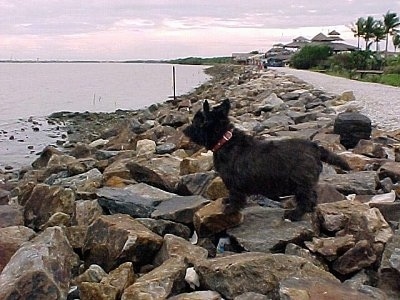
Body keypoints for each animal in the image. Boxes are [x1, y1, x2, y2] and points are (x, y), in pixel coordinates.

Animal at [183, 99, 352, 220]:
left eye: (197, 121)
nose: (184, 129)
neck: (225, 140)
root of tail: (315, 147)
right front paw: (227, 202)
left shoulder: (235, 183)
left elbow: (236, 197)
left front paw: (230, 209)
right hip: (306, 183)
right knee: (313, 196)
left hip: (301, 183)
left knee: (305, 198)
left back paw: (295, 214)